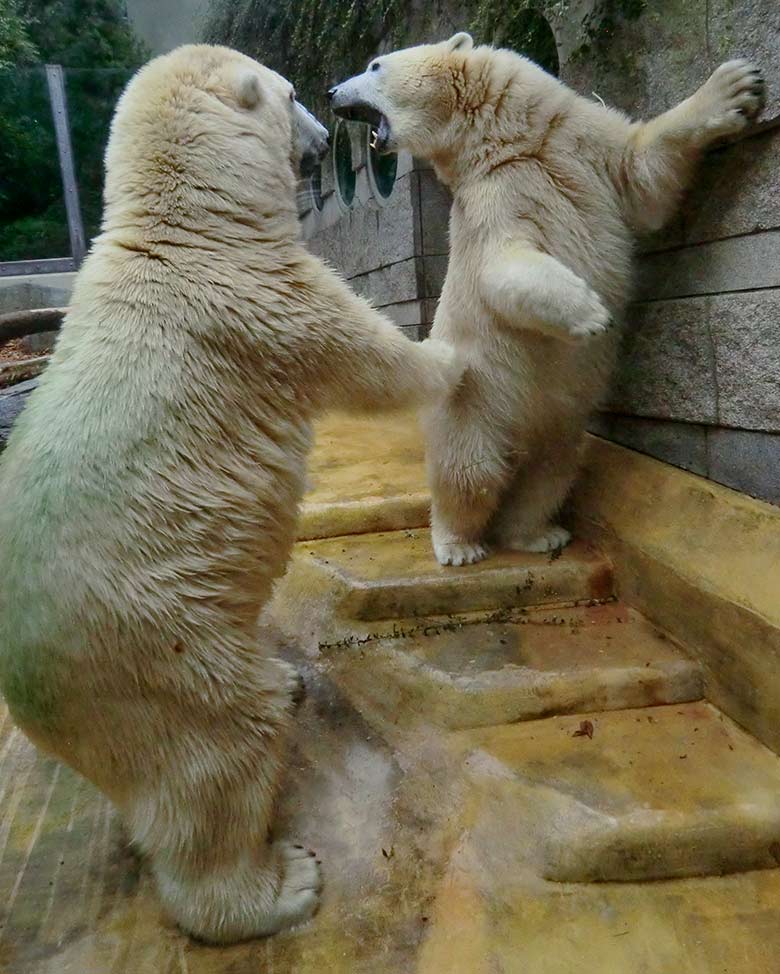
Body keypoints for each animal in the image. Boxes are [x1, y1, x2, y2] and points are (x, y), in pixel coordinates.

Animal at [0, 45, 460, 944]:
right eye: (290, 93)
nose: (320, 133)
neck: (184, 228)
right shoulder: (258, 298)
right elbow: (371, 359)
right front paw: (462, 348)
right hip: (152, 647)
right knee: (218, 752)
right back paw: (275, 883)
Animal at [330, 36, 768, 564]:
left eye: (375, 65)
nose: (330, 92)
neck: (515, 143)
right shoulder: (492, 200)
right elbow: (503, 268)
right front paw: (592, 315)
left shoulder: (579, 145)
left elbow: (643, 171)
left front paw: (738, 85)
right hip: (475, 400)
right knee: (470, 473)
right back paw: (460, 545)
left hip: (559, 427)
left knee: (549, 473)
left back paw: (538, 534)